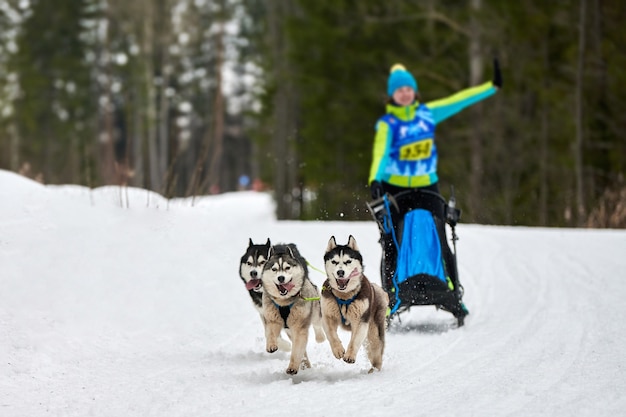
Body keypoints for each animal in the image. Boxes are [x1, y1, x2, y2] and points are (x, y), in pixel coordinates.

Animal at [260, 240, 324, 374]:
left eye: (287, 267)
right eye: (274, 269)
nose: (281, 278)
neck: (284, 302)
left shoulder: (299, 327)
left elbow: (296, 350)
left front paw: (293, 366)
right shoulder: (272, 318)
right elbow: (271, 332)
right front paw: (271, 345)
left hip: (315, 310)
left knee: (317, 324)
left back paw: (320, 338)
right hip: (289, 330)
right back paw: (304, 363)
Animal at [320, 234, 388, 370]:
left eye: (348, 261)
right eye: (334, 262)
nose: (340, 272)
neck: (344, 297)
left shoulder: (361, 320)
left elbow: (355, 340)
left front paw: (350, 355)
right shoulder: (327, 316)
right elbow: (331, 334)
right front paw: (338, 350)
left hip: (374, 332)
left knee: (376, 352)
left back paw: (374, 371)